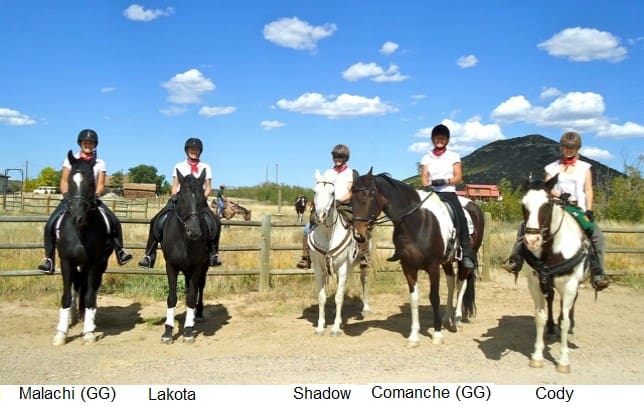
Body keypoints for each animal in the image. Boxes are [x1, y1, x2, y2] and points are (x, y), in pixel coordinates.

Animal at [53, 151, 114, 346]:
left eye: (91, 183)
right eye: (71, 180)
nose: (78, 217)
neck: (80, 232)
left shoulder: (95, 263)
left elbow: (89, 296)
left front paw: (89, 332)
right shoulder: (66, 262)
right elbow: (66, 295)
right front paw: (61, 333)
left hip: (97, 265)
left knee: (89, 289)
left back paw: (87, 318)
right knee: (77, 286)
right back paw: (74, 316)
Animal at [161, 169, 211, 344]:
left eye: (204, 200)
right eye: (181, 198)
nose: (194, 231)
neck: (184, 241)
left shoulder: (197, 267)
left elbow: (191, 297)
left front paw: (188, 330)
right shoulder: (170, 266)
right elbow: (171, 298)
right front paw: (168, 331)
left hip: (203, 268)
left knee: (199, 288)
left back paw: (199, 313)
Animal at [310, 170, 370, 338]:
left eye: (332, 193)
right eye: (315, 192)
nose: (320, 216)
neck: (327, 234)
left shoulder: (343, 267)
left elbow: (339, 298)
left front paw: (336, 327)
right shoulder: (319, 269)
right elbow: (322, 297)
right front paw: (320, 327)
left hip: (363, 264)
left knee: (364, 281)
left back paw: (366, 307)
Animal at [350, 168, 486, 348]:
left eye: (368, 196)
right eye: (351, 199)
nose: (358, 235)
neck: (416, 222)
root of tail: (474, 205)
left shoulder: (433, 267)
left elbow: (434, 297)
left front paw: (437, 334)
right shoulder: (408, 267)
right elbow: (414, 299)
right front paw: (414, 337)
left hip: (466, 258)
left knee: (461, 284)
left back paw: (456, 320)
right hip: (447, 261)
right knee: (451, 282)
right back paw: (446, 319)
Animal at [520, 175, 588, 372]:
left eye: (547, 204)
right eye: (523, 204)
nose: (532, 240)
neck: (552, 250)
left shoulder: (570, 285)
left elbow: (564, 321)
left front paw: (564, 360)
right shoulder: (535, 284)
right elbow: (540, 317)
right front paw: (537, 356)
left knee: (569, 307)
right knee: (550, 300)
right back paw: (551, 329)